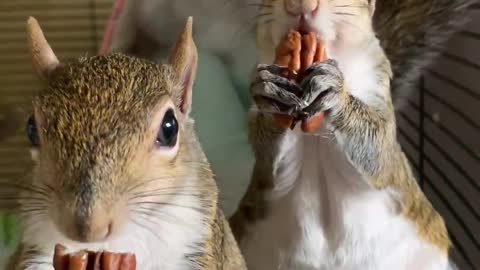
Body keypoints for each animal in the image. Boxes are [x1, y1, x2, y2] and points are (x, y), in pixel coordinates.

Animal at [231, 0, 474, 270]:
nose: (301, 6)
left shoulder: (378, 93)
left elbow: (378, 151)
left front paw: (336, 91)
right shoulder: (264, 165)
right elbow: (263, 148)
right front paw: (268, 89)